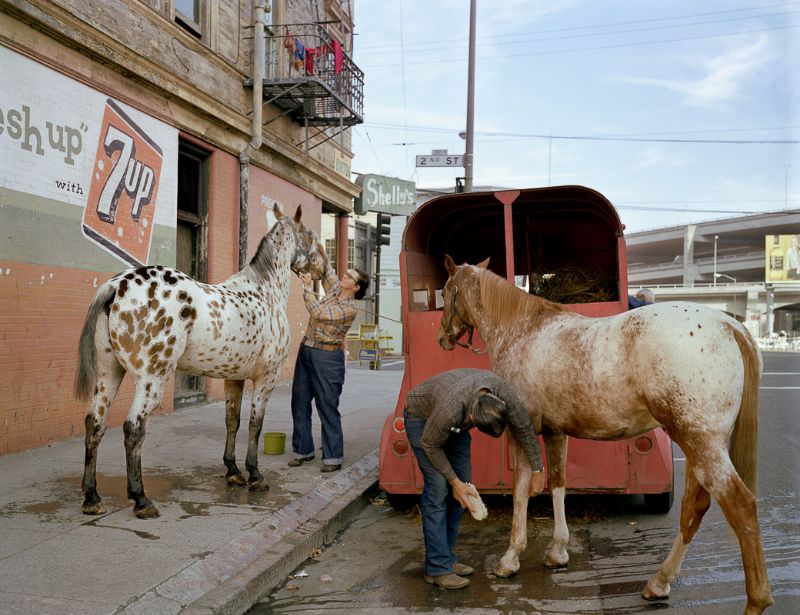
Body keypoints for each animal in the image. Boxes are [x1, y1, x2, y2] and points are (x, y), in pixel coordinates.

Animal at [73, 206, 324, 520]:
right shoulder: (266, 377)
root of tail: (116, 285)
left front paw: (233, 471)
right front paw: (255, 476)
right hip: (151, 379)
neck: (265, 291)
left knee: (95, 423)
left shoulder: (234, 378)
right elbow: (255, 424)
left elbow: (232, 421)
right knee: (133, 427)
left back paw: (92, 497)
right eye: (310, 235)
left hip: (109, 374)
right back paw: (141, 499)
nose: (322, 270)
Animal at [434, 256, 772, 615]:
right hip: (698, 446)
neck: (522, 332)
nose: (443, 337)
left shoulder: (519, 429)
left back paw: (756, 601)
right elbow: (557, 484)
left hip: (701, 444)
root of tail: (729, 324)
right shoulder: (556, 433)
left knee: (741, 507)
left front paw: (510, 558)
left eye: (446, 290)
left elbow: (521, 490)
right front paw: (558, 551)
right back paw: (659, 582)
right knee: (694, 507)